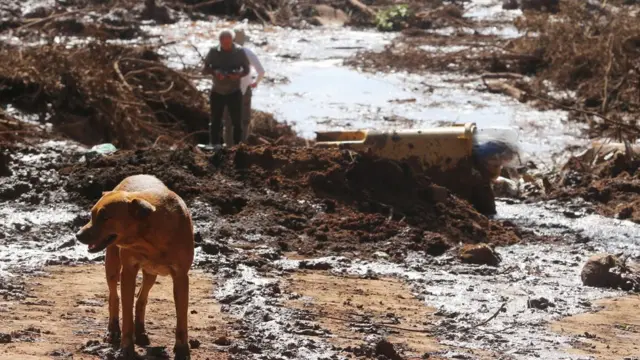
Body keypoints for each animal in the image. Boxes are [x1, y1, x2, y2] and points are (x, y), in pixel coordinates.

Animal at [74, 174, 192, 358]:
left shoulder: (181, 275)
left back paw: (141, 332)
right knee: (114, 296)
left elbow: (182, 315)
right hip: (112, 263)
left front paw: (181, 349)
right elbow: (126, 311)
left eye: (105, 217)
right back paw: (113, 330)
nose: (78, 235)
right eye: (92, 215)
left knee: (141, 298)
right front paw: (126, 348)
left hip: (151, 272)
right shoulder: (128, 270)